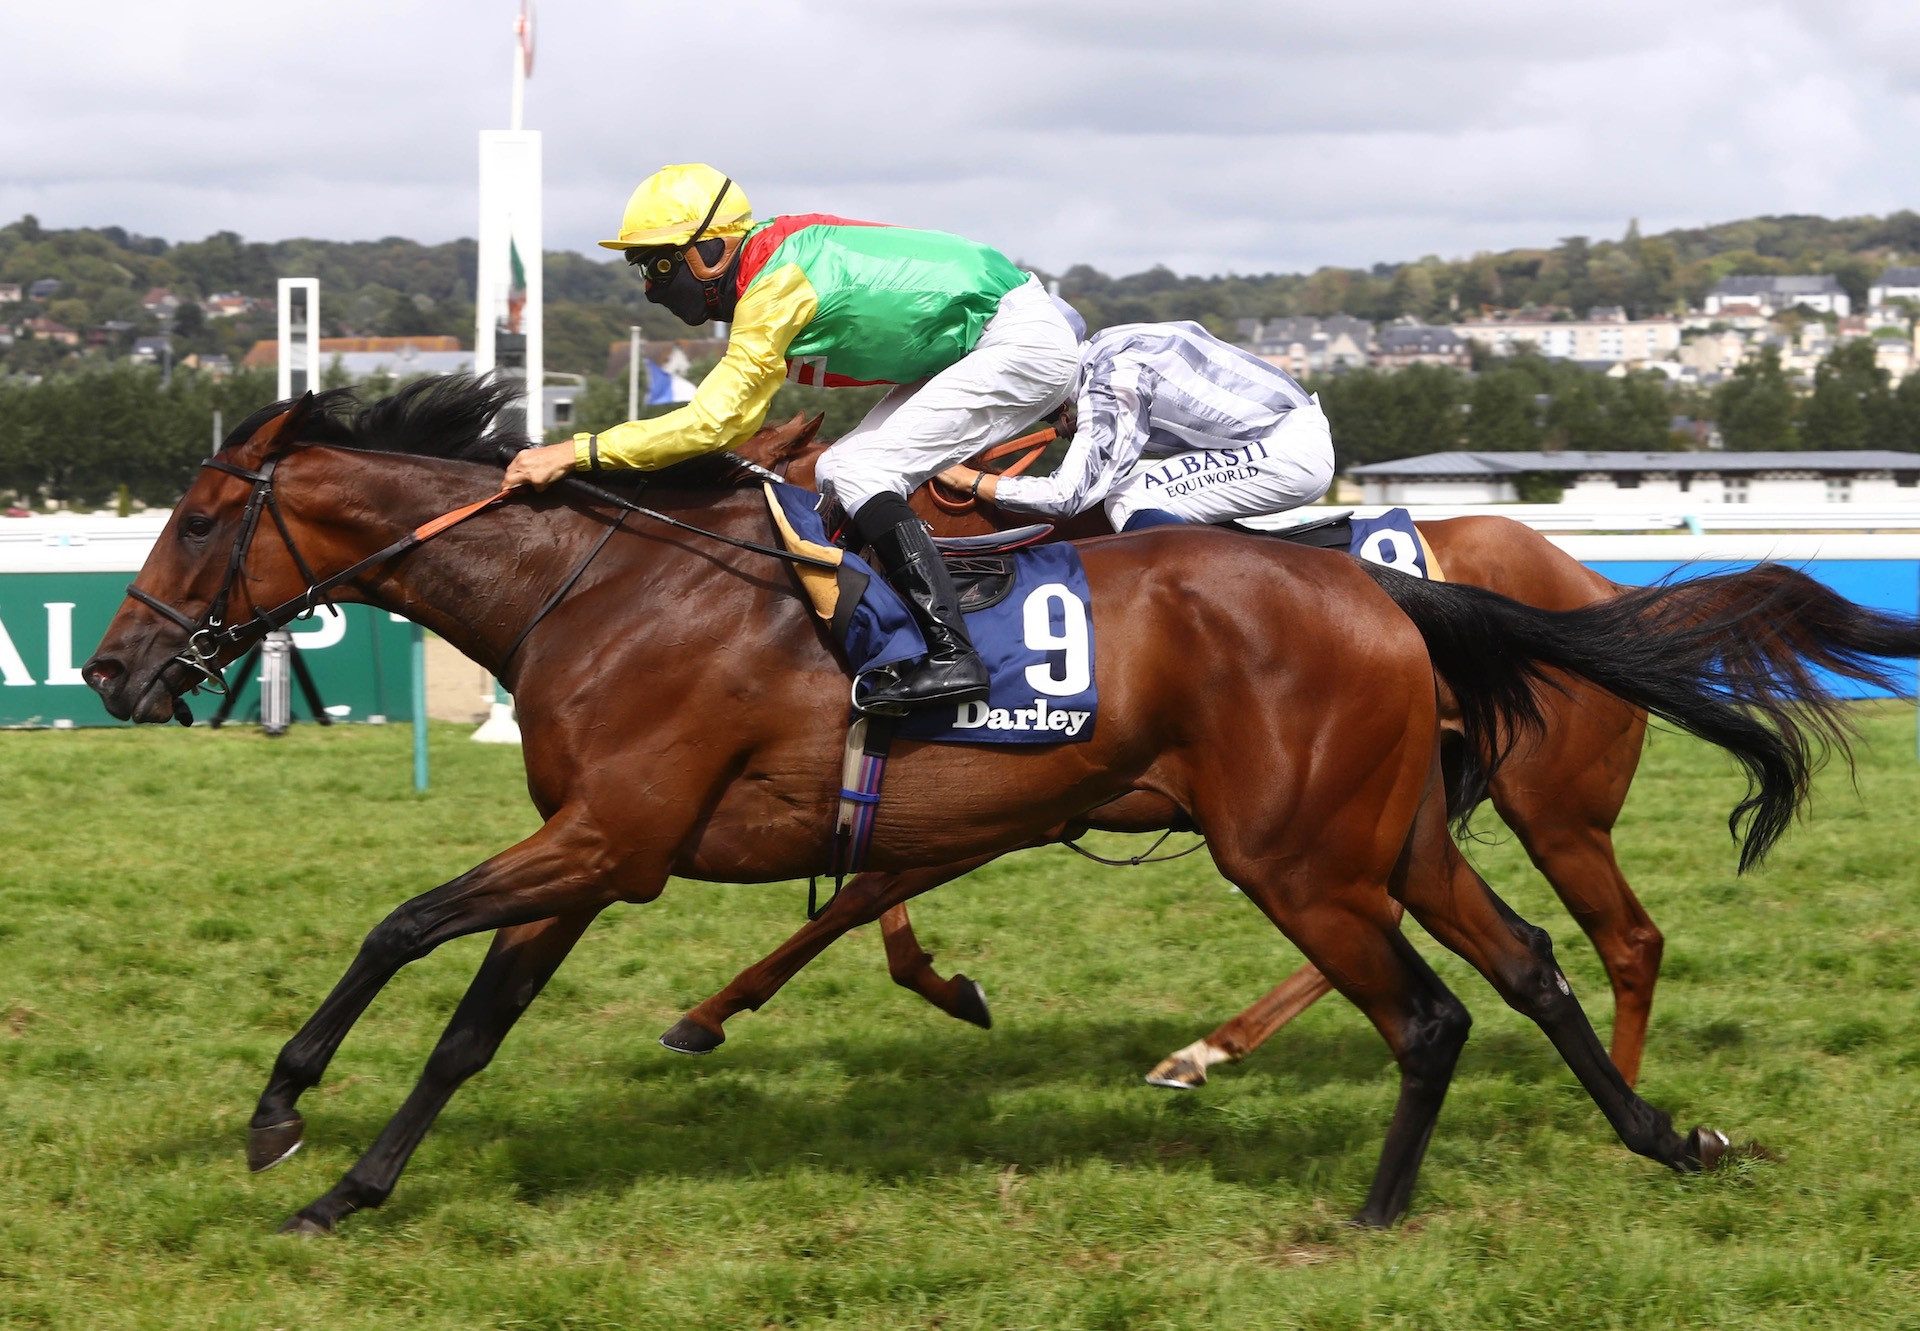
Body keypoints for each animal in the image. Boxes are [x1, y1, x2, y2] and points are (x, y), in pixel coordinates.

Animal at [714, 420, 1912, 1083]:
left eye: (794, 479)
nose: (819, 585)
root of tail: (1591, 584)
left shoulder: (1039, 788)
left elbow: (867, 887)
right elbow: (869, 881)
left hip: (1551, 806)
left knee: (1628, 938)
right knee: (1389, 918)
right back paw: (1208, 1051)